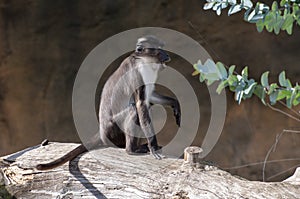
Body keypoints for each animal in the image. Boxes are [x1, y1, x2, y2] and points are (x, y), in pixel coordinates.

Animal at [36, 35, 179, 169]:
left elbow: (149, 97)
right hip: (114, 131)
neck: (143, 60)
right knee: (134, 109)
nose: (166, 55)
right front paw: (153, 147)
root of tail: (102, 132)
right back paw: (131, 150)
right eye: (159, 49)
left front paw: (175, 104)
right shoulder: (138, 72)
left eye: (163, 48)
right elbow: (141, 103)